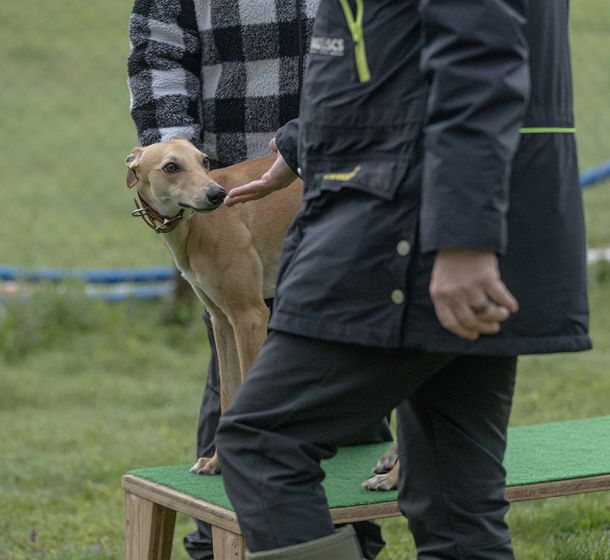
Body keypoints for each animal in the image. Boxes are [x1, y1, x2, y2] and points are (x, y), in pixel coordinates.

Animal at [126, 139, 302, 474]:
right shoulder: (222, 321)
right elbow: (228, 395)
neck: (196, 227)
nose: (217, 195)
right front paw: (217, 462)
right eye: (171, 166)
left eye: (205, 162)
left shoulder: (250, 316)